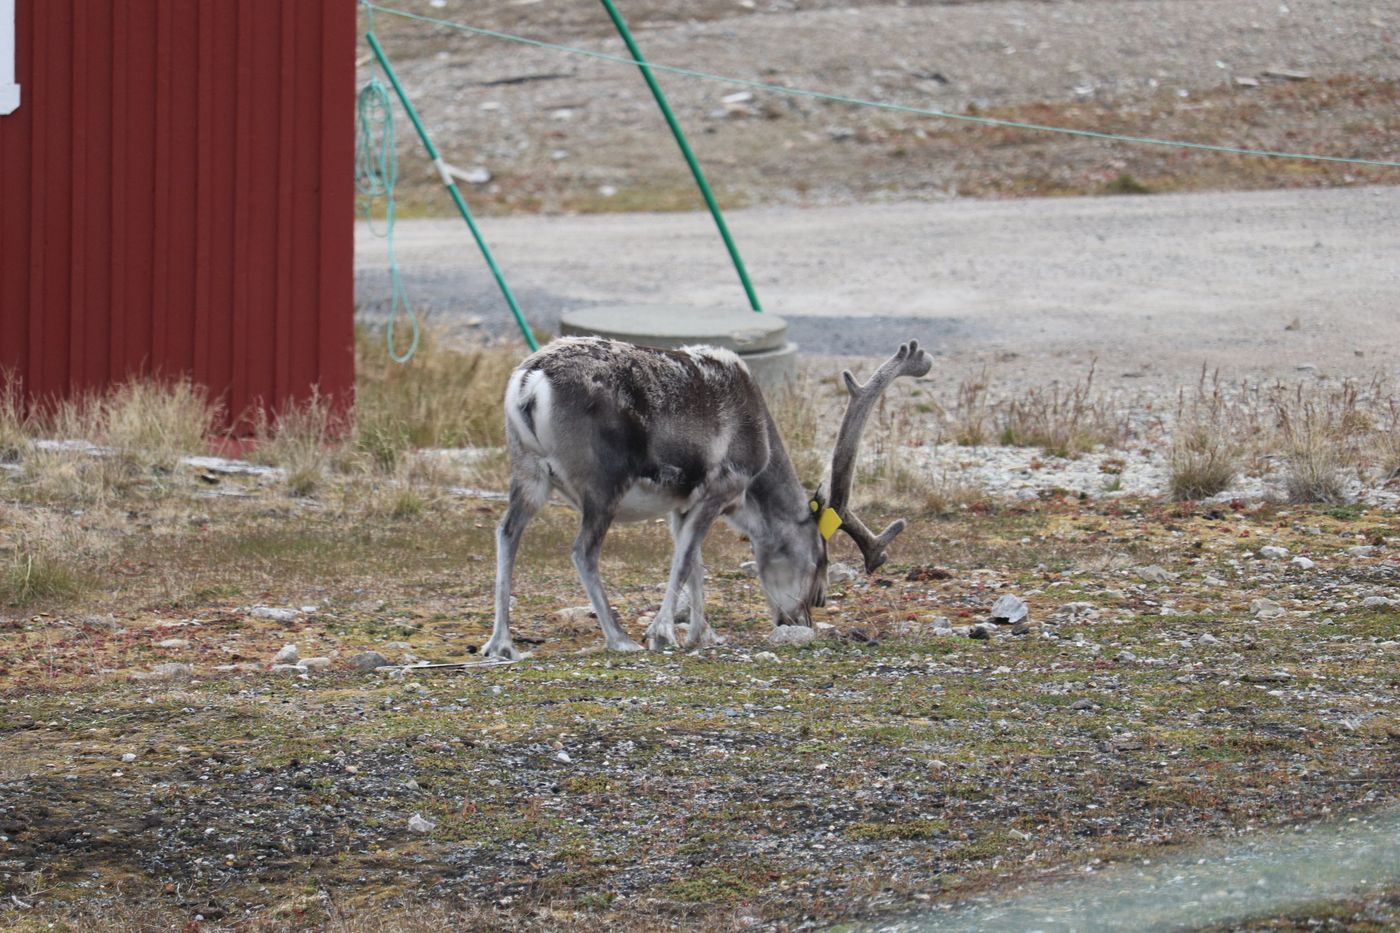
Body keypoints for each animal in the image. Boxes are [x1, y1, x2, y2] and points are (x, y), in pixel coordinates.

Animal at [481, 337, 932, 659]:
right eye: (820, 560)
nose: (804, 616)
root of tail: (529, 383)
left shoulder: (680, 505)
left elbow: (695, 561)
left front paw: (703, 633)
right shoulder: (722, 486)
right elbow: (684, 561)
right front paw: (661, 632)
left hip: (528, 473)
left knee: (506, 532)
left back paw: (501, 643)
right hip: (603, 484)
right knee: (582, 550)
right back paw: (619, 637)